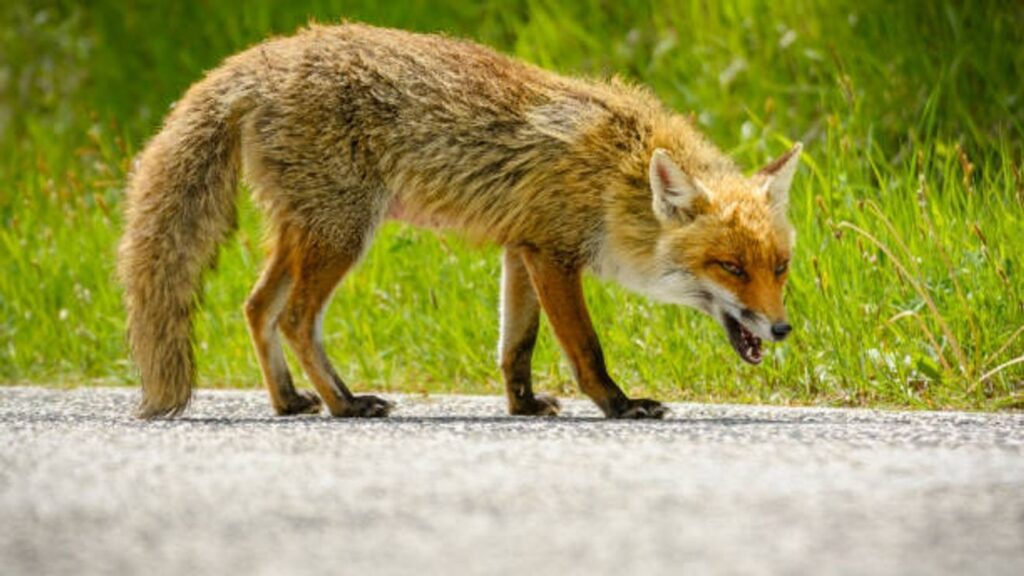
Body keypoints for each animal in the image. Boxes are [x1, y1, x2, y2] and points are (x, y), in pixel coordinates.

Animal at [118, 23, 801, 420]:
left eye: (780, 268)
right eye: (729, 267)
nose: (782, 328)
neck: (617, 175)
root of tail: (265, 57)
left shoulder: (522, 249)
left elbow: (516, 346)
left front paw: (522, 406)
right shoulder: (555, 255)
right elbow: (585, 346)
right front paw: (618, 404)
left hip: (308, 231)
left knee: (257, 307)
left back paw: (288, 402)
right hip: (342, 234)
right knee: (294, 318)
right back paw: (344, 404)